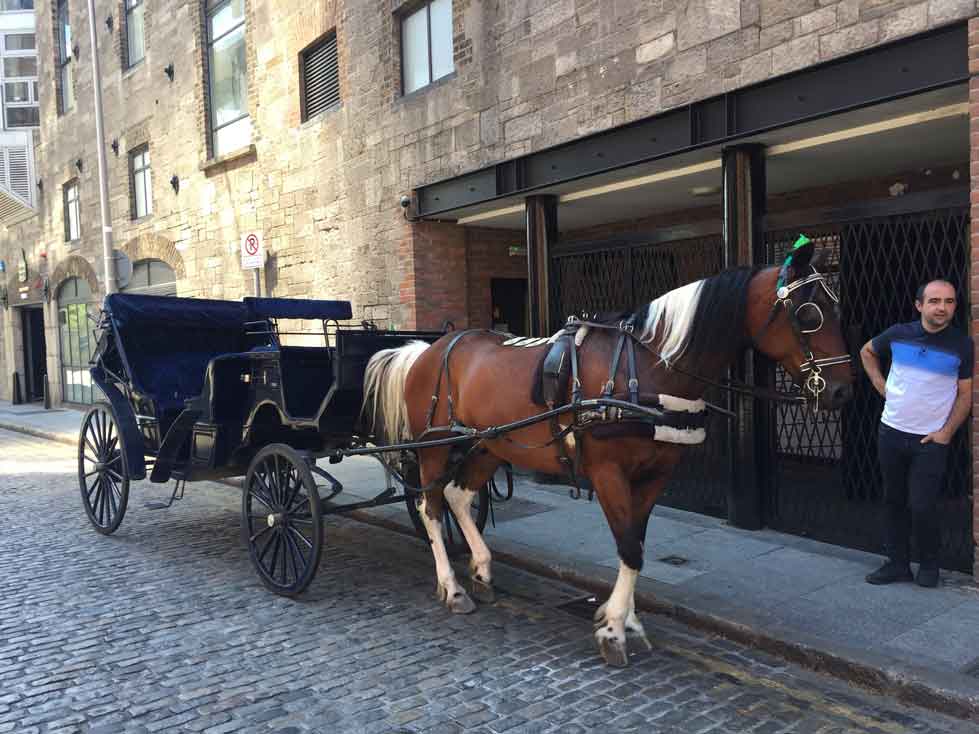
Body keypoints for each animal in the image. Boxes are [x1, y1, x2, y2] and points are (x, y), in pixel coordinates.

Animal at [361, 239, 855, 667]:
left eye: (835, 307)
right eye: (809, 314)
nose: (843, 390)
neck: (649, 370)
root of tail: (428, 348)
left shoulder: (656, 473)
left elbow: (636, 542)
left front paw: (626, 618)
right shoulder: (607, 471)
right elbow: (629, 547)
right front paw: (615, 629)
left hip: (488, 442)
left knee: (459, 497)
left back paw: (481, 570)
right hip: (435, 445)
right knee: (430, 506)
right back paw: (452, 586)